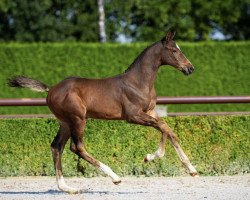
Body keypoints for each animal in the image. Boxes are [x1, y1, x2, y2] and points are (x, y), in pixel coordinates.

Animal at [8, 31, 197, 194]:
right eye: (174, 50)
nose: (190, 68)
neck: (138, 82)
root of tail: (51, 89)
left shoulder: (150, 112)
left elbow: (168, 130)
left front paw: (191, 169)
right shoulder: (133, 116)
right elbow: (163, 126)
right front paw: (151, 157)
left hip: (65, 122)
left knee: (56, 147)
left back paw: (68, 188)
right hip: (78, 119)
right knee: (77, 147)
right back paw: (114, 177)